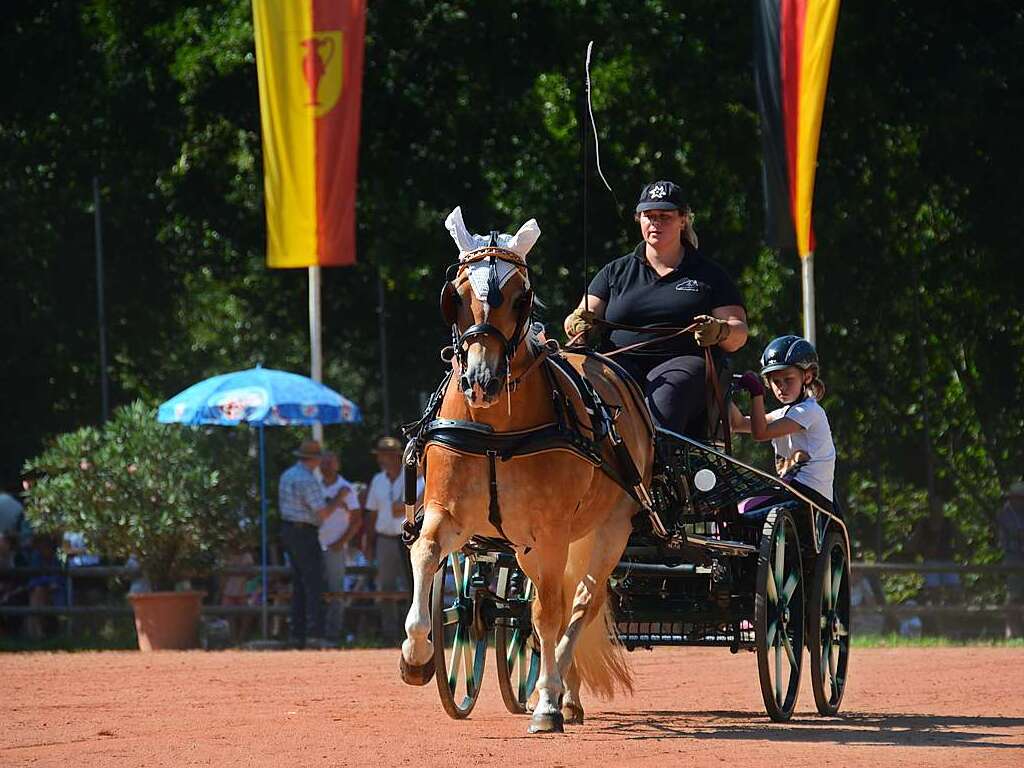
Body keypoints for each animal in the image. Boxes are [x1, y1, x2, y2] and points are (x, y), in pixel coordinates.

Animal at [399, 208, 655, 733]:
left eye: (522, 298)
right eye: (455, 297)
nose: (481, 381)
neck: (496, 430)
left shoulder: (552, 531)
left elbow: (548, 614)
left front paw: (546, 704)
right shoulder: (448, 515)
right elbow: (426, 553)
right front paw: (416, 655)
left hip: (607, 530)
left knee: (575, 604)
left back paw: (553, 693)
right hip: (526, 546)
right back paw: (566, 692)